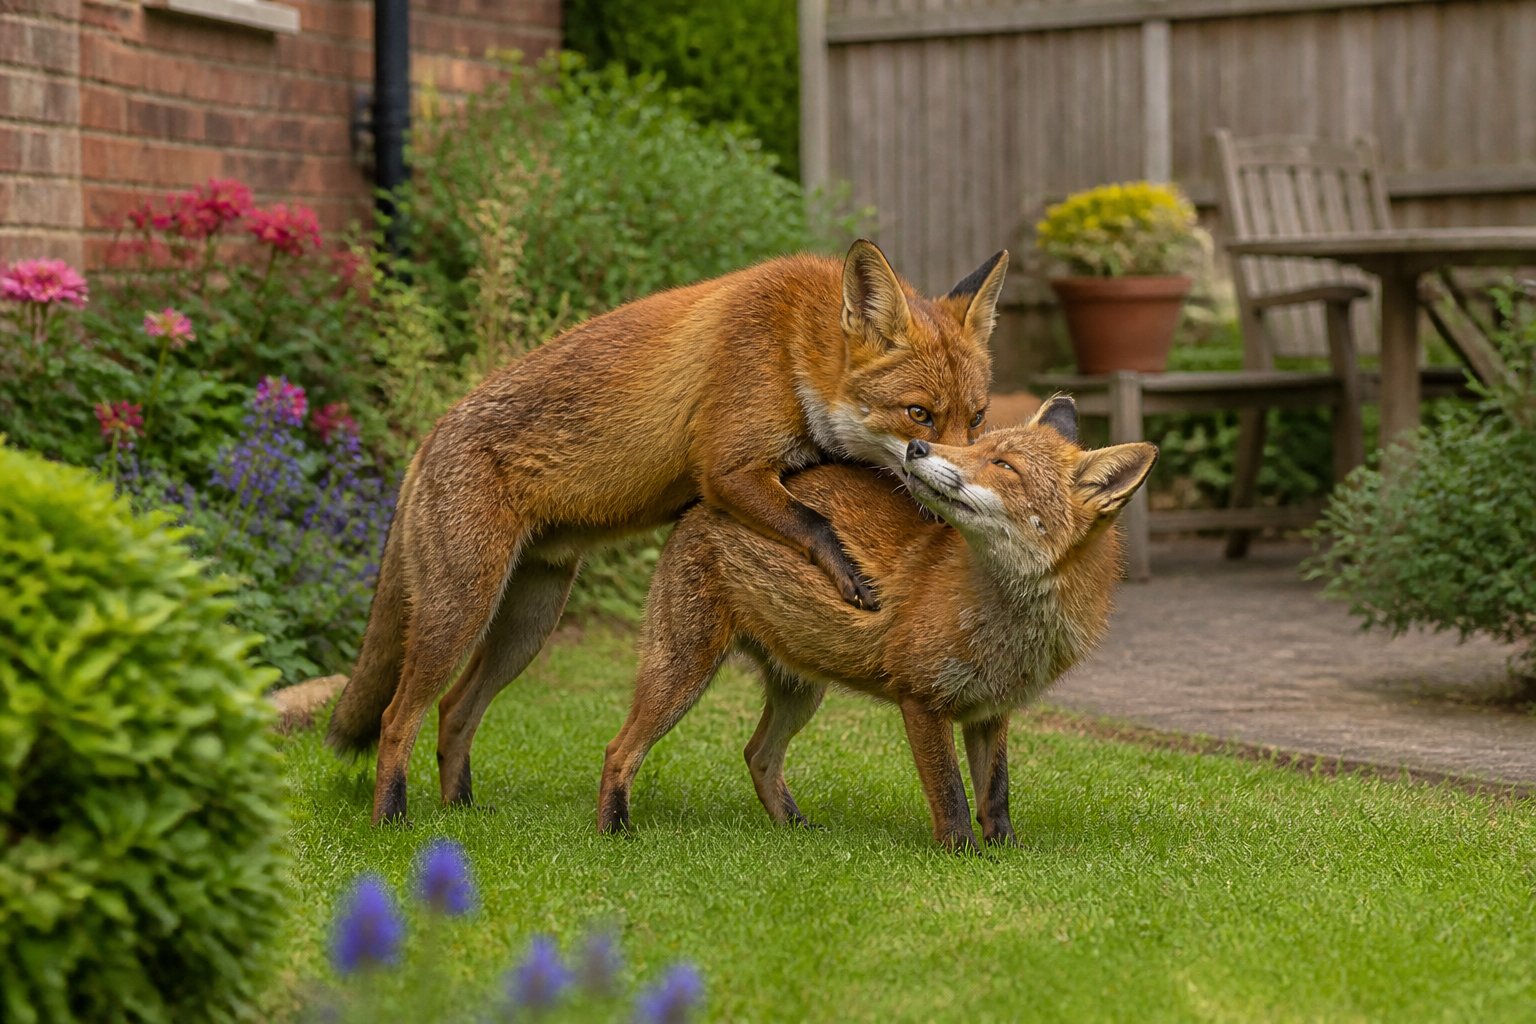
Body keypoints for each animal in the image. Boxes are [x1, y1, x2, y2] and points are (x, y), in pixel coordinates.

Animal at [327, 239, 1009, 824]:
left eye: (976, 419)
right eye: (919, 414)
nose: (953, 477)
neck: (793, 346)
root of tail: (427, 439)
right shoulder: (726, 470)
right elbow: (812, 519)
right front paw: (850, 572)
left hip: (526, 626)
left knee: (453, 711)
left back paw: (460, 811)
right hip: (462, 611)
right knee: (397, 717)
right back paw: (393, 819)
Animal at [597, 397, 1157, 850]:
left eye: (1002, 465)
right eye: (980, 445)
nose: (917, 447)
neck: (1010, 624)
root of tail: (702, 499)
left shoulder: (990, 713)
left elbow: (995, 794)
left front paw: (1008, 854)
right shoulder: (922, 699)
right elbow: (951, 793)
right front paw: (963, 855)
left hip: (800, 691)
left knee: (758, 754)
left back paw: (793, 828)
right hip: (683, 671)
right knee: (619, 749)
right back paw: (613, 830)